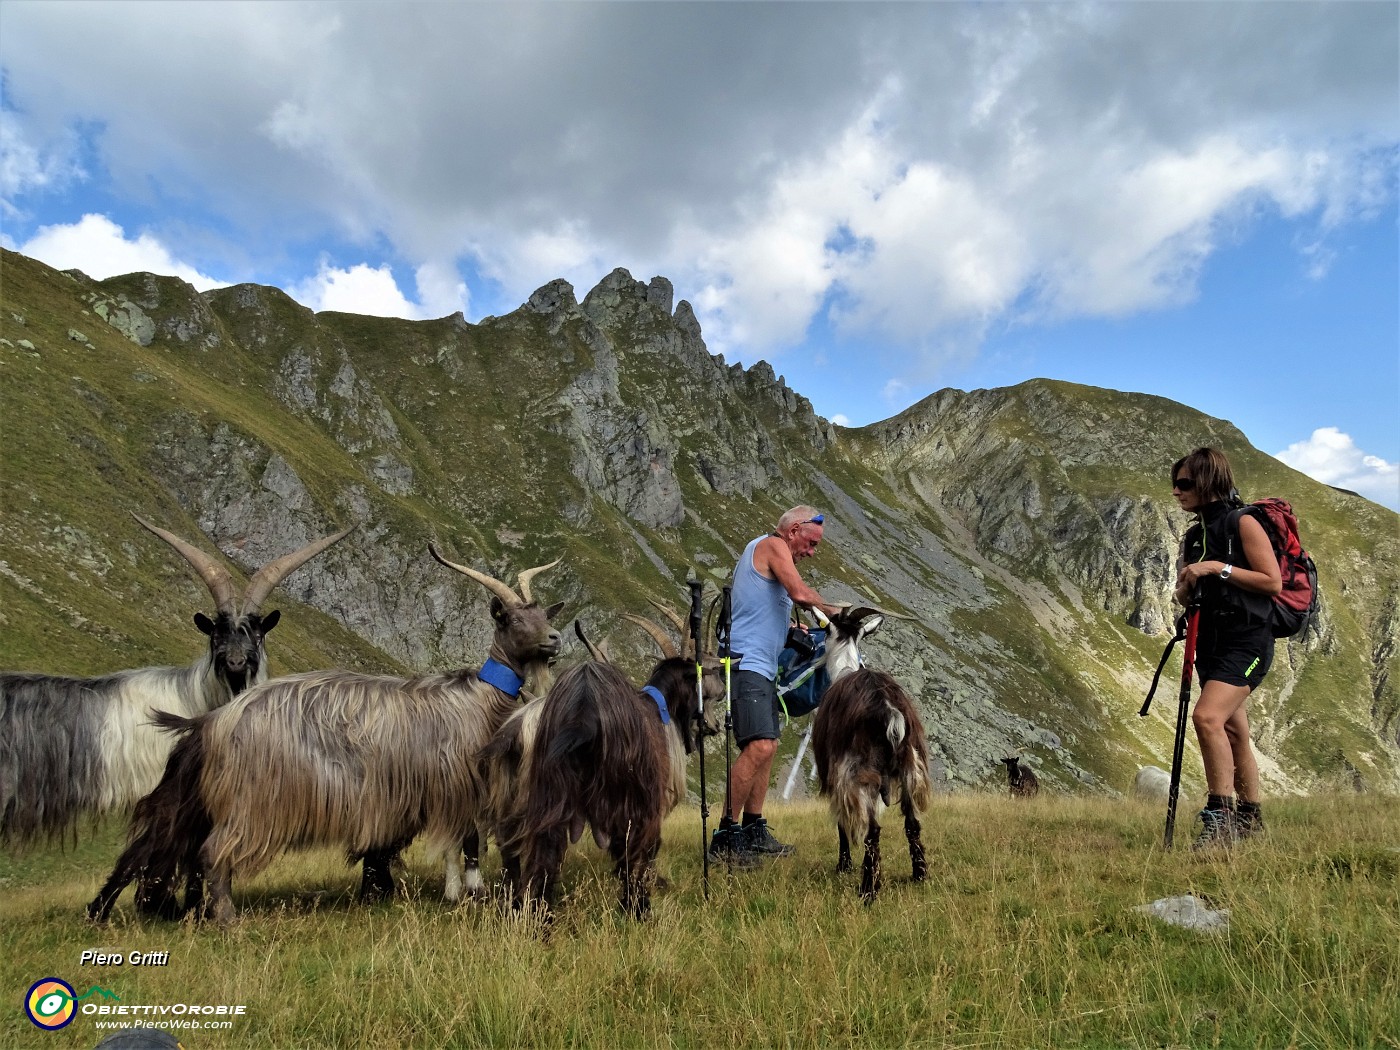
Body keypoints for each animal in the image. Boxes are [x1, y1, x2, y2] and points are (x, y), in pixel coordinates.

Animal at [87, 546, 562, 924]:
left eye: (542, 614)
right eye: (512, 618)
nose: (555, 639)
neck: (478, 697)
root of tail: (212, 721)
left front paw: (387, 892)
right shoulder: (453, 785)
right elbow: (466, 842)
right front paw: (464, 891)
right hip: (250, 803)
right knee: (210, 852)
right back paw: (225, 919)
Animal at [806, 607, 935, 907]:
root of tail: (889, 709)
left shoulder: (837, 775)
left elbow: (841, 822)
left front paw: (844, 866)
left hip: (860, 772)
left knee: (872, 830)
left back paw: (868, 890)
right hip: (911, 765)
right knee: (912, 823)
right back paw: (919, 875)